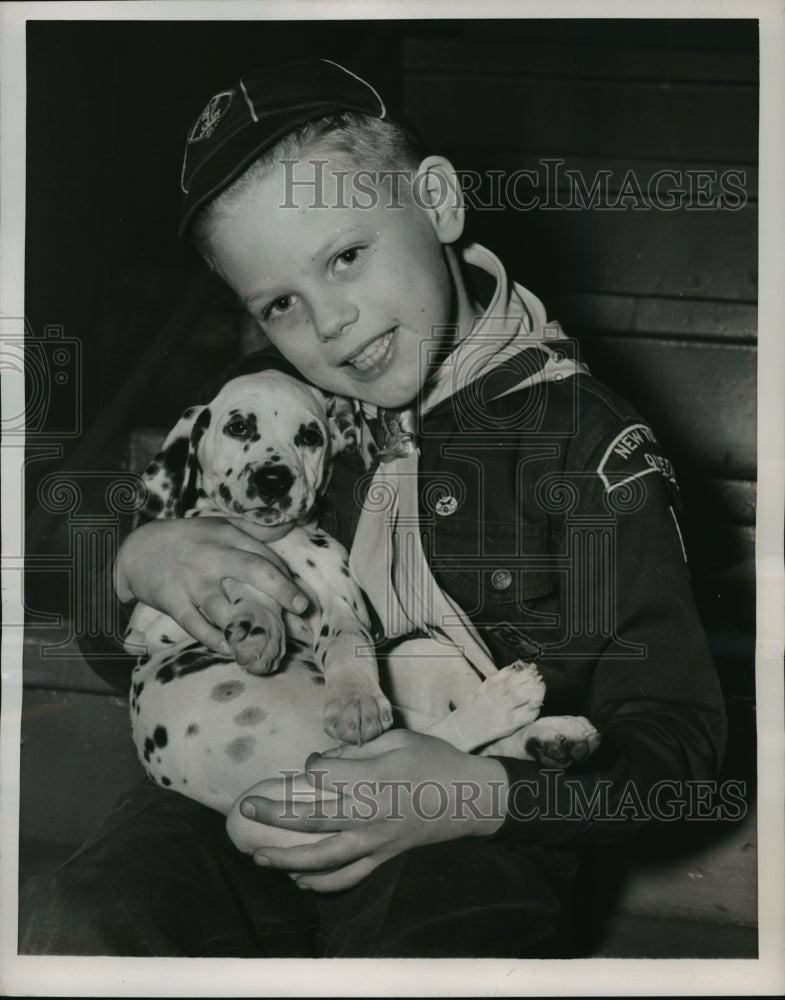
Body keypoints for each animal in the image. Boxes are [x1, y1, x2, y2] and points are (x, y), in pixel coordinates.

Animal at [125, 372, 596, 824]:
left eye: (310, 436)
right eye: (238, 426)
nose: (274, 480)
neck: (282, 539)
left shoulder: (341, 604)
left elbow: (348, 646)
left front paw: (355, 700)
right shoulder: (155, 622)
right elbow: (245, 579)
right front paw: (257, 625)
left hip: (425, 658)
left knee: (438, 740)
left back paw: (538, 726)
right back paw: (531, 723)